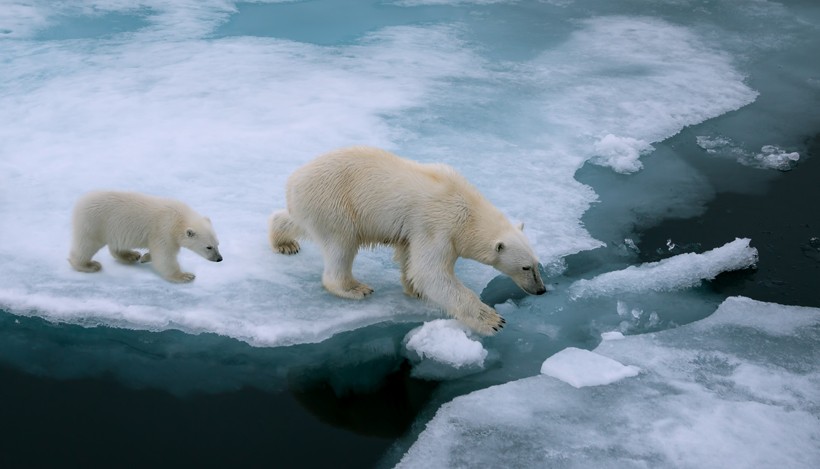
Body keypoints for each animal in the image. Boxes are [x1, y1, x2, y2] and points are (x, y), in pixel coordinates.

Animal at [67, 190, 223, 282]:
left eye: (218, 244)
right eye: (209, 247)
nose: (219, 259)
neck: (178, 218)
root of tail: (80, 202)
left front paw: (146, 257)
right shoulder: (164, 230)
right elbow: (164, 256)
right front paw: (185, 275)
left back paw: (131, 255)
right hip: (94, 223)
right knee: (86, 245)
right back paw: (89, 265)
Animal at [272, 146, 548, 332]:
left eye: (538, 264)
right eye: (526, 267)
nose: (541, 290)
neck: (467, 208)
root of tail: (292, 182)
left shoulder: (417, 230)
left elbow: (410, 258)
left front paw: (414, 289)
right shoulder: (439, 225)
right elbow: (431, 272)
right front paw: (493, 320)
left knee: (297, 222)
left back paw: (283, 242)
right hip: (334, 203)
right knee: (341, 244)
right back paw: (355, 287)